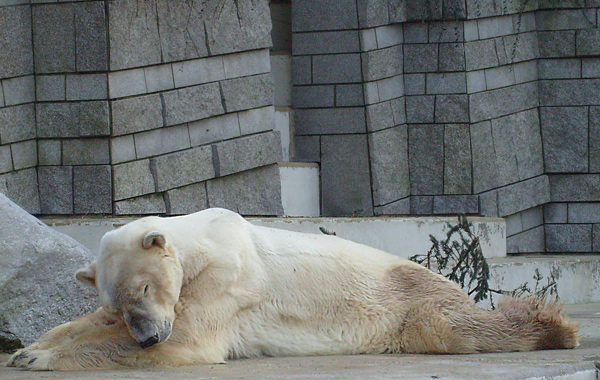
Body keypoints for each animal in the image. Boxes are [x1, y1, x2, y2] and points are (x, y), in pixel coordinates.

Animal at [7, 208, 580, 372]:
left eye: (145, 287)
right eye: (118, 301)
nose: (148, 336)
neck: (204, 241)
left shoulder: (227, 281)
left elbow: (191, 340)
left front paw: (38, 359)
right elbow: (85, 323)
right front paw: (30, 347)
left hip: (407, 298)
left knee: (457, 327)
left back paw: (553, 325)